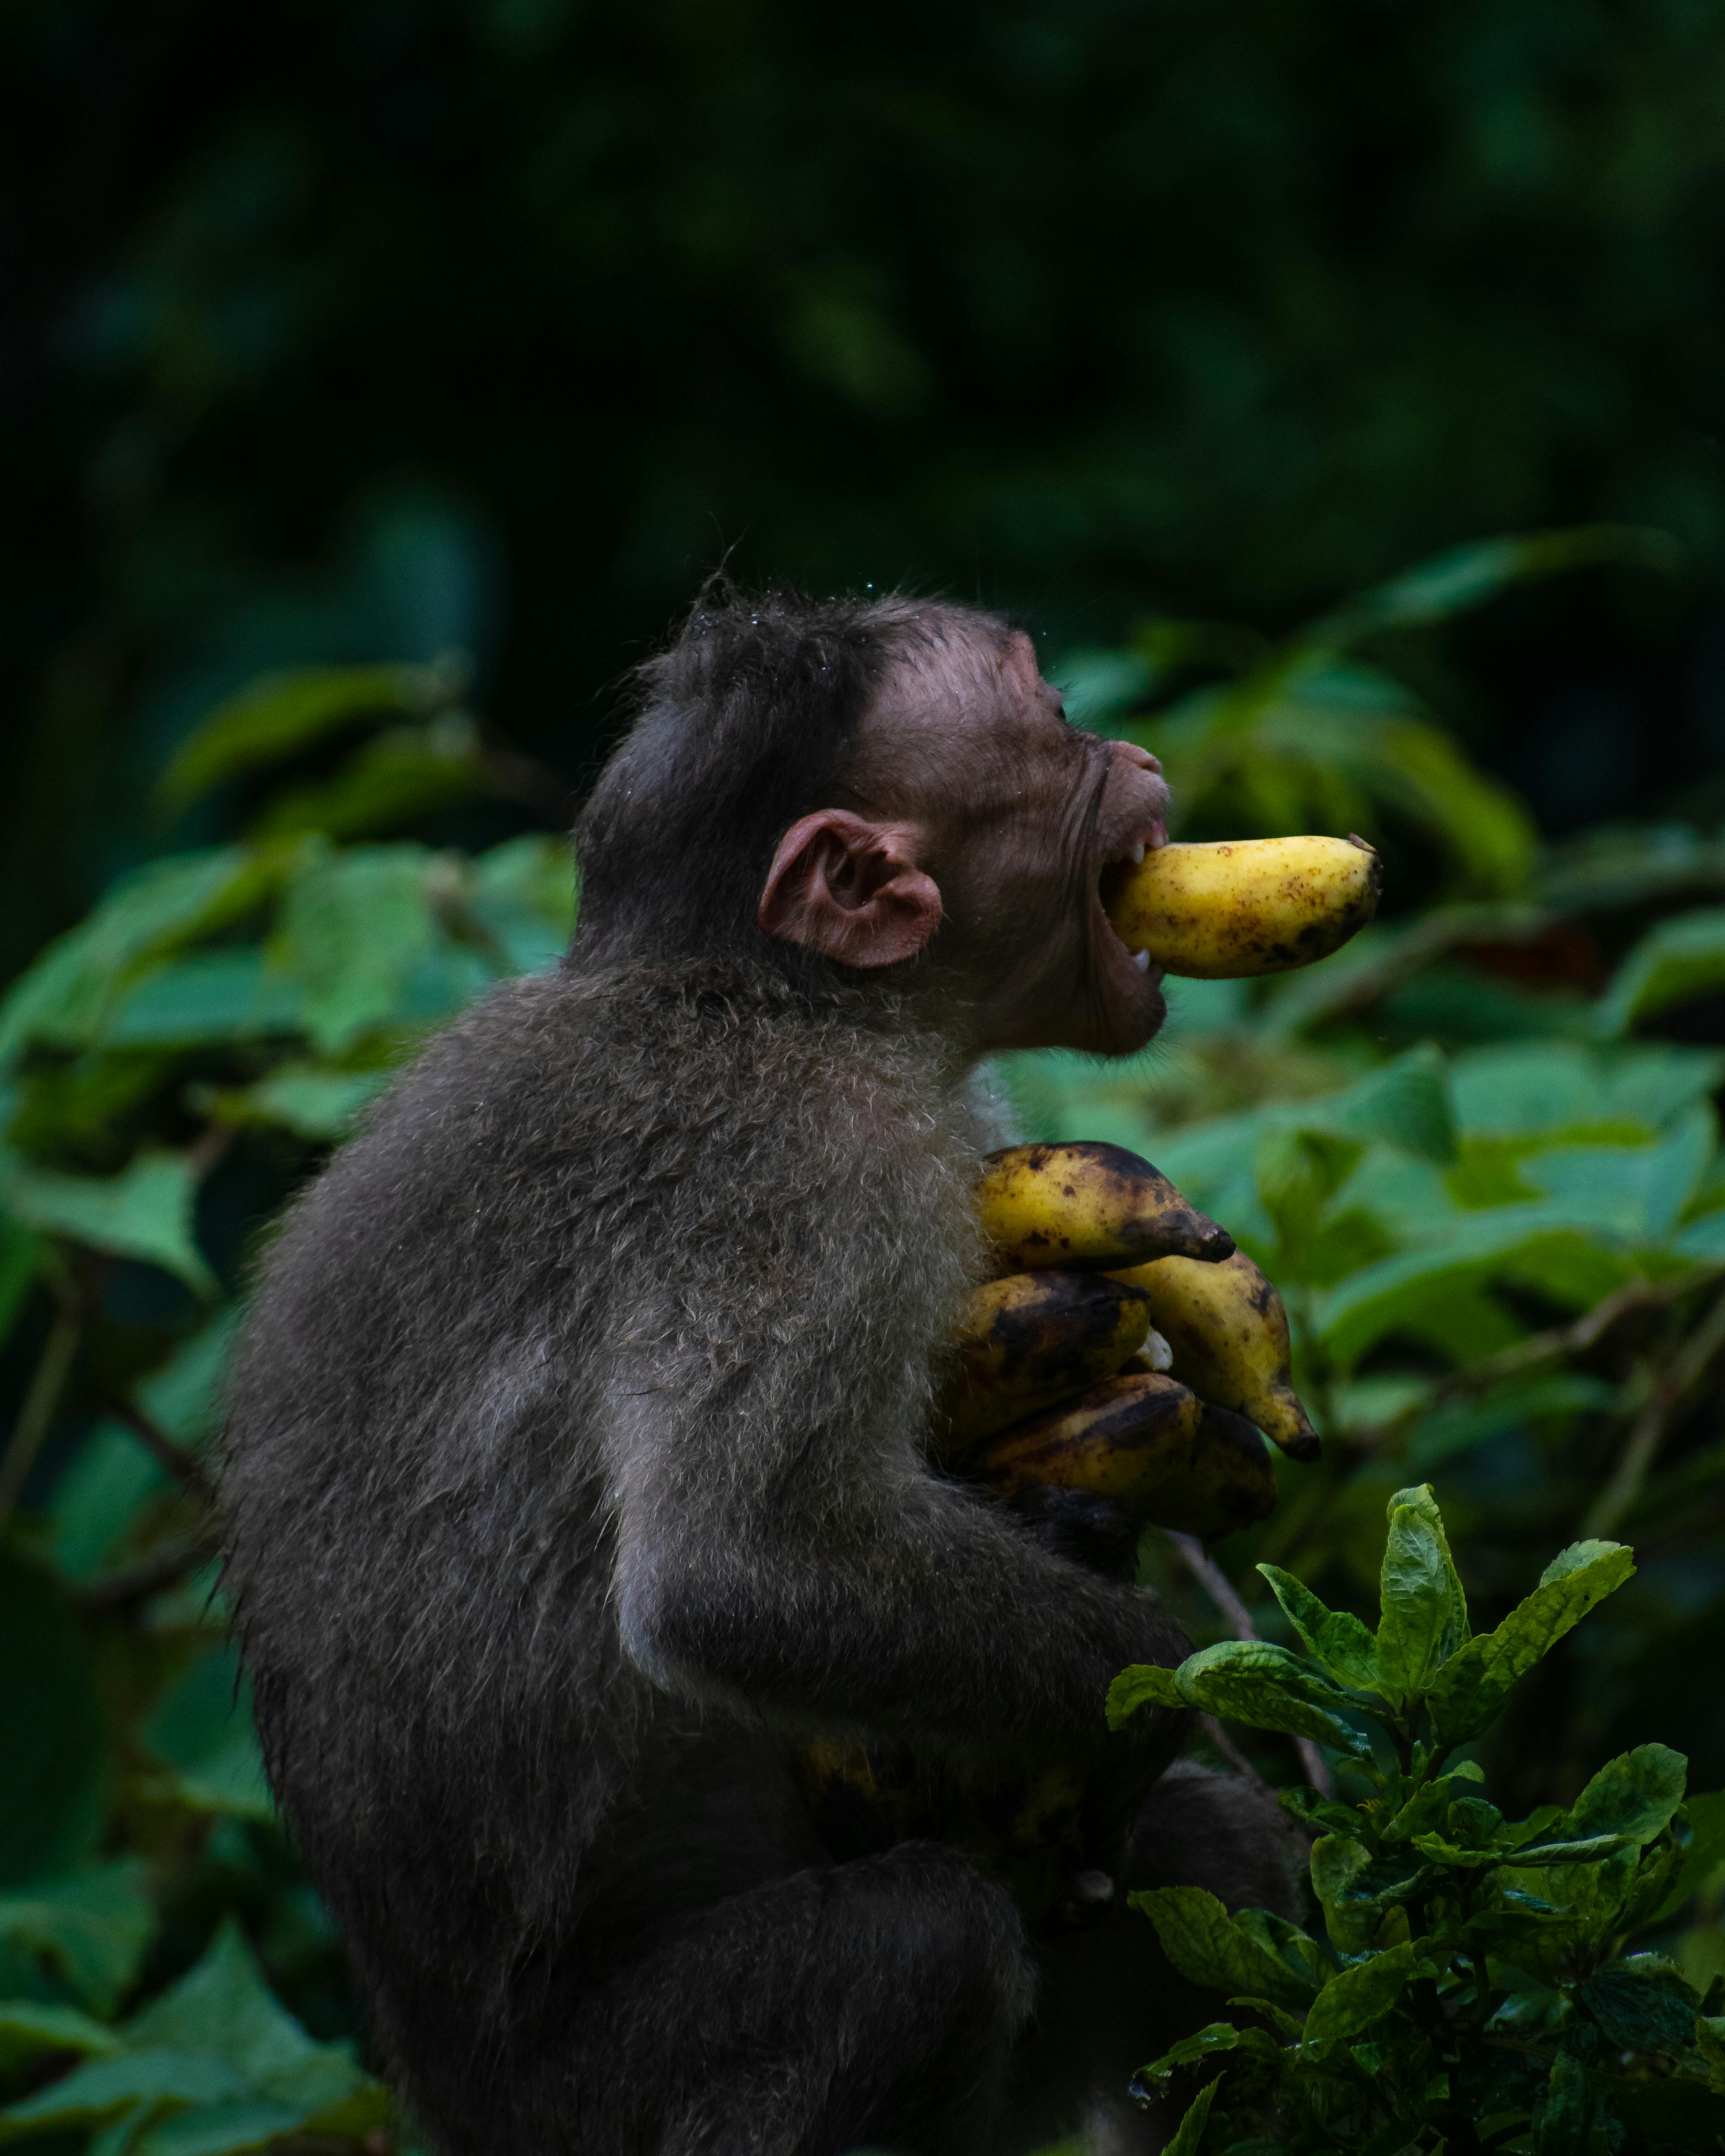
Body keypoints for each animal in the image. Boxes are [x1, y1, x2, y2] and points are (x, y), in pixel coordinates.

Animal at [218, 590, 1303, 2156]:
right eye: (1056, 732)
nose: (1142, 753)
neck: (771, 995)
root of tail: (448, 2089)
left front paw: (1084, 1539)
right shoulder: (807, 1168)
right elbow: (735, 1575)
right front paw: (1149, 1682)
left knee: (1203, 1864)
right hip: (609, 2097)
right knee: (927, 1944)